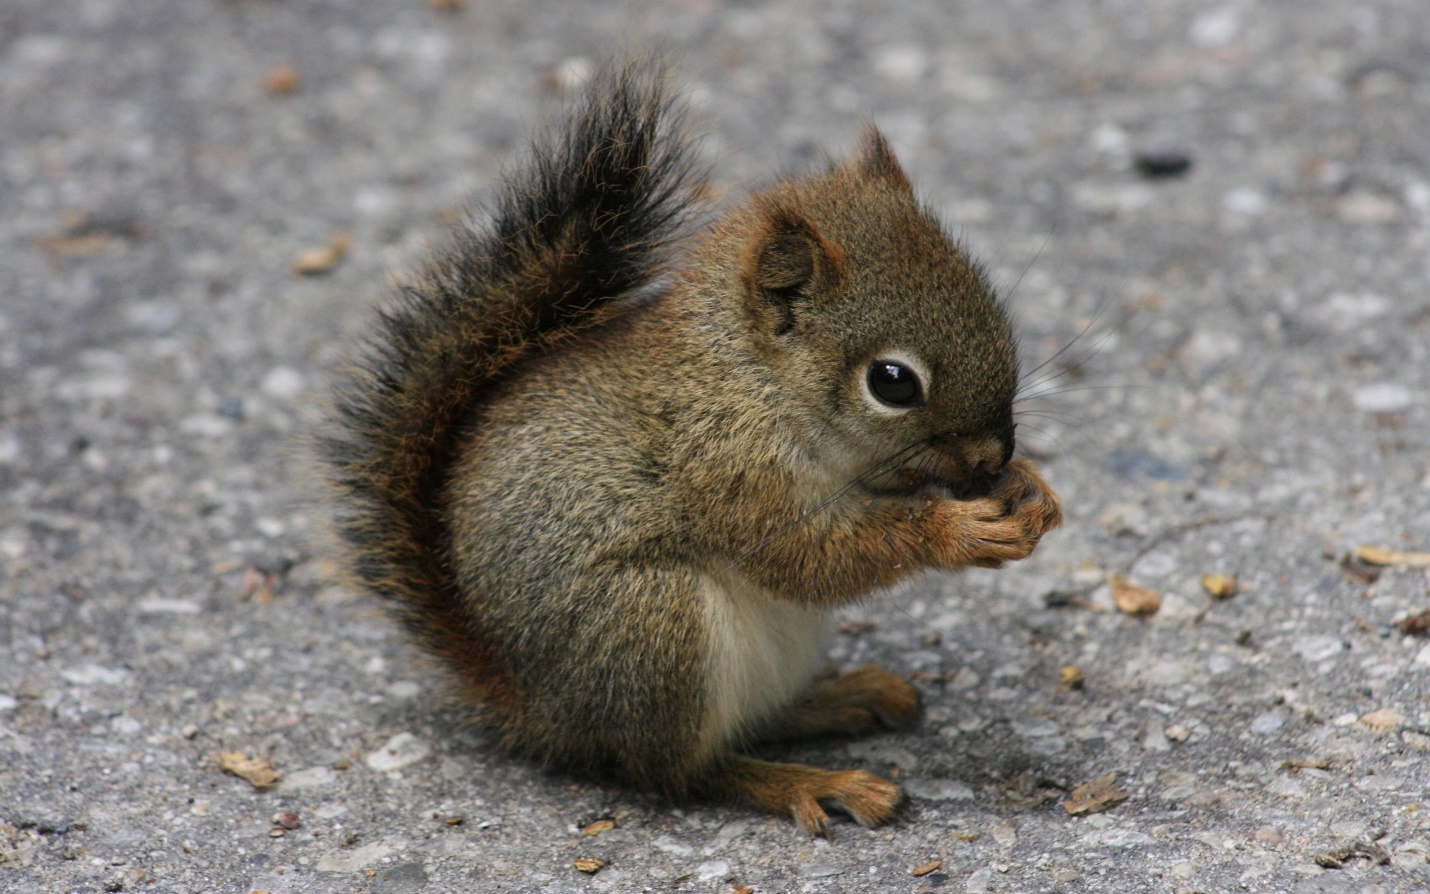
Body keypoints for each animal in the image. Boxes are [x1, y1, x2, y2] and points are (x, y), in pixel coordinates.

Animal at [324, 62, 1063, 835]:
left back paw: (840, 698)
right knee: (680, 771)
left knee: (751, 723)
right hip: (652, 626)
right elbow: (808, 557)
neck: (752, 379)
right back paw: (809, 781)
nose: (991, 456)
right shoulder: (728, 469)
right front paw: (958, 530)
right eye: (892, 382)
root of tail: (538, 709)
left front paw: (1031, 491)